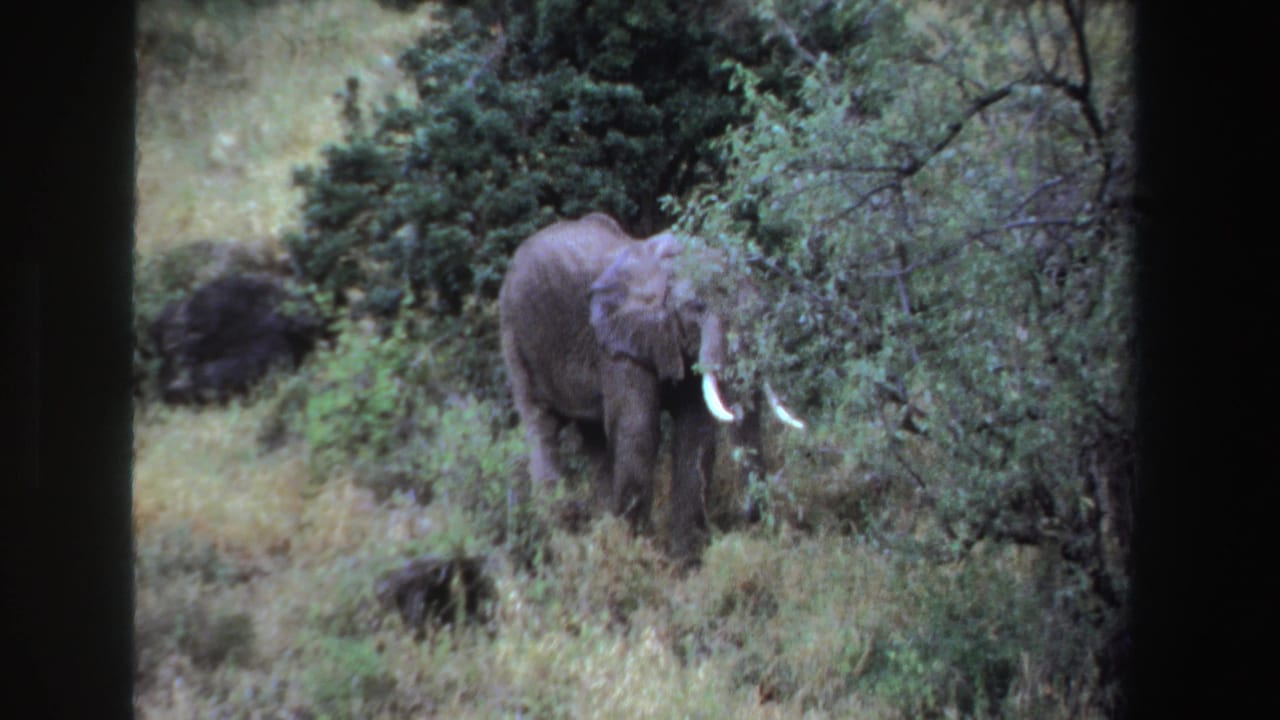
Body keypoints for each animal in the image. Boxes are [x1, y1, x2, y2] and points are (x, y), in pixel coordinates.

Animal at [499, 212, 803, 560]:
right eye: (698, 307)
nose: (752, 520)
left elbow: (695, 433)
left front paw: (683, 562)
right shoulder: (617, 344)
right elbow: (639, 429)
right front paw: (638, 555)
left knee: (594, 438)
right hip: (515, 336)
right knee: (541, 425)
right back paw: (561, 545)